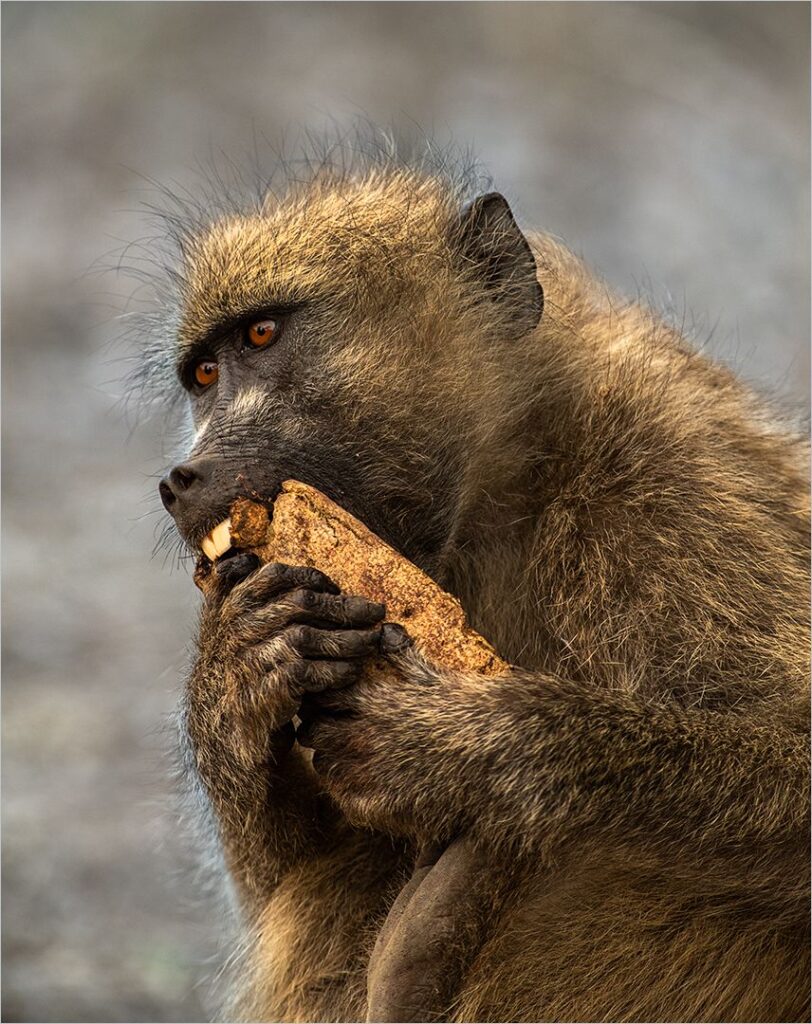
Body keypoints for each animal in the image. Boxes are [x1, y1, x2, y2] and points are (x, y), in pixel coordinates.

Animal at [147, 140, 810, 1023]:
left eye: (262, 334)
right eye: (204, 375)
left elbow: (795, 754)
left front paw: (458, 744)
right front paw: (240, 665)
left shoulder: (671, 478)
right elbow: (287, 875)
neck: (503, 484)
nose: (180, 480)